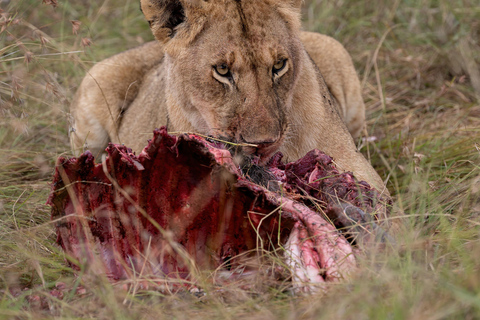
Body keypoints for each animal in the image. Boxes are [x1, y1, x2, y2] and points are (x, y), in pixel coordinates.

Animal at [70, 0, 386, 192]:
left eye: (279, 65)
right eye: (222, 70)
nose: (263, 144)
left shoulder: (364, 173)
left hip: (334, 50)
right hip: (95, 86)